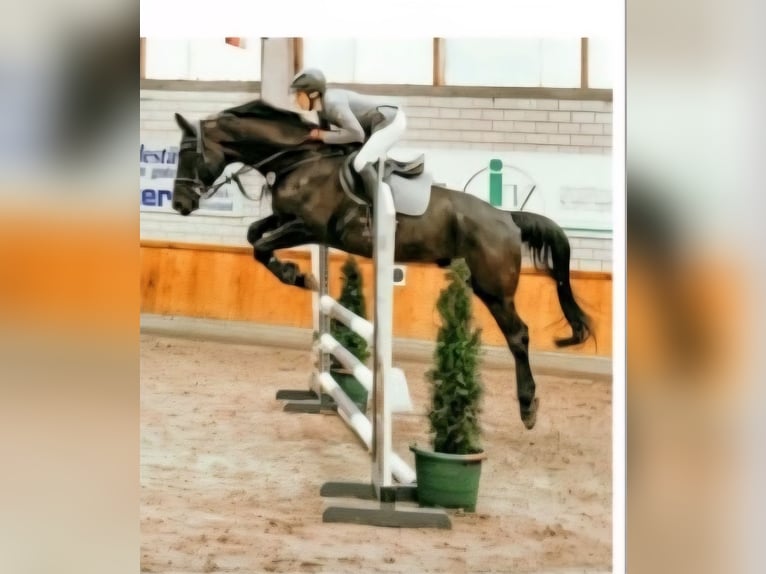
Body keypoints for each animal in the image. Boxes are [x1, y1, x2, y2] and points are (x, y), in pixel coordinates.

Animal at [170, 98, 593, 430]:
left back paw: (528, 407)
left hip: (493, 288)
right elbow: (254, 235)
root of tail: (507, 216)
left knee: (519, 335)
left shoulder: (308, 226)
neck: (298, 160)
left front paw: (297, 276)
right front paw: (298, 274)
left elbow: (260, 246)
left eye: (188, 154)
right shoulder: (290, 222)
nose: (179, 204)